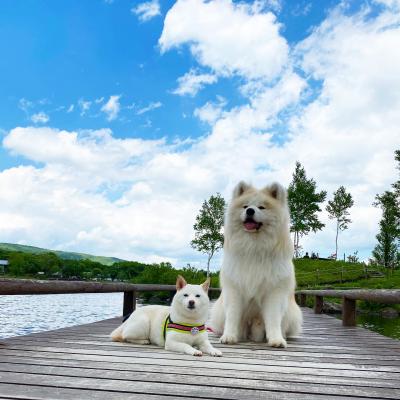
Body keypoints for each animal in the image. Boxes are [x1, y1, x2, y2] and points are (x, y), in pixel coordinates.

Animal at [211, 181, 302, 346]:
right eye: (245, 206)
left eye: (261, 207)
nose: (250, 211)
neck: (254, 247)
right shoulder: (234, 289)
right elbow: (232, 316)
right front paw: (229, 336)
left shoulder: (274, 292)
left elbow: (273, 318)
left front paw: (276, 339)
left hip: (292, 313)